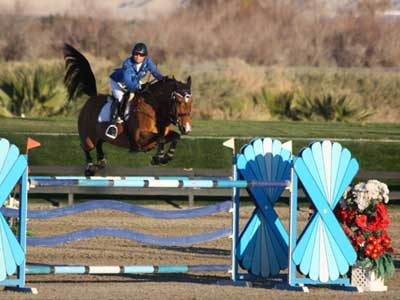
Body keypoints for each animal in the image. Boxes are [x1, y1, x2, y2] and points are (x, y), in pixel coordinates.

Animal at [62, 44, 192, 176]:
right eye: (178, 101)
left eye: (191, 102)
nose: (186, 128)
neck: (155, 110)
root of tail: (92, 98)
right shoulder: (140, 138)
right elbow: (160, 138)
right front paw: (158, 157)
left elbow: (174, 136)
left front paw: (164, 158)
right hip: (88, 137)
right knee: (86, 147)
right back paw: (89, 167)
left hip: (100, 136)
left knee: (99, 144)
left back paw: (100, 163)